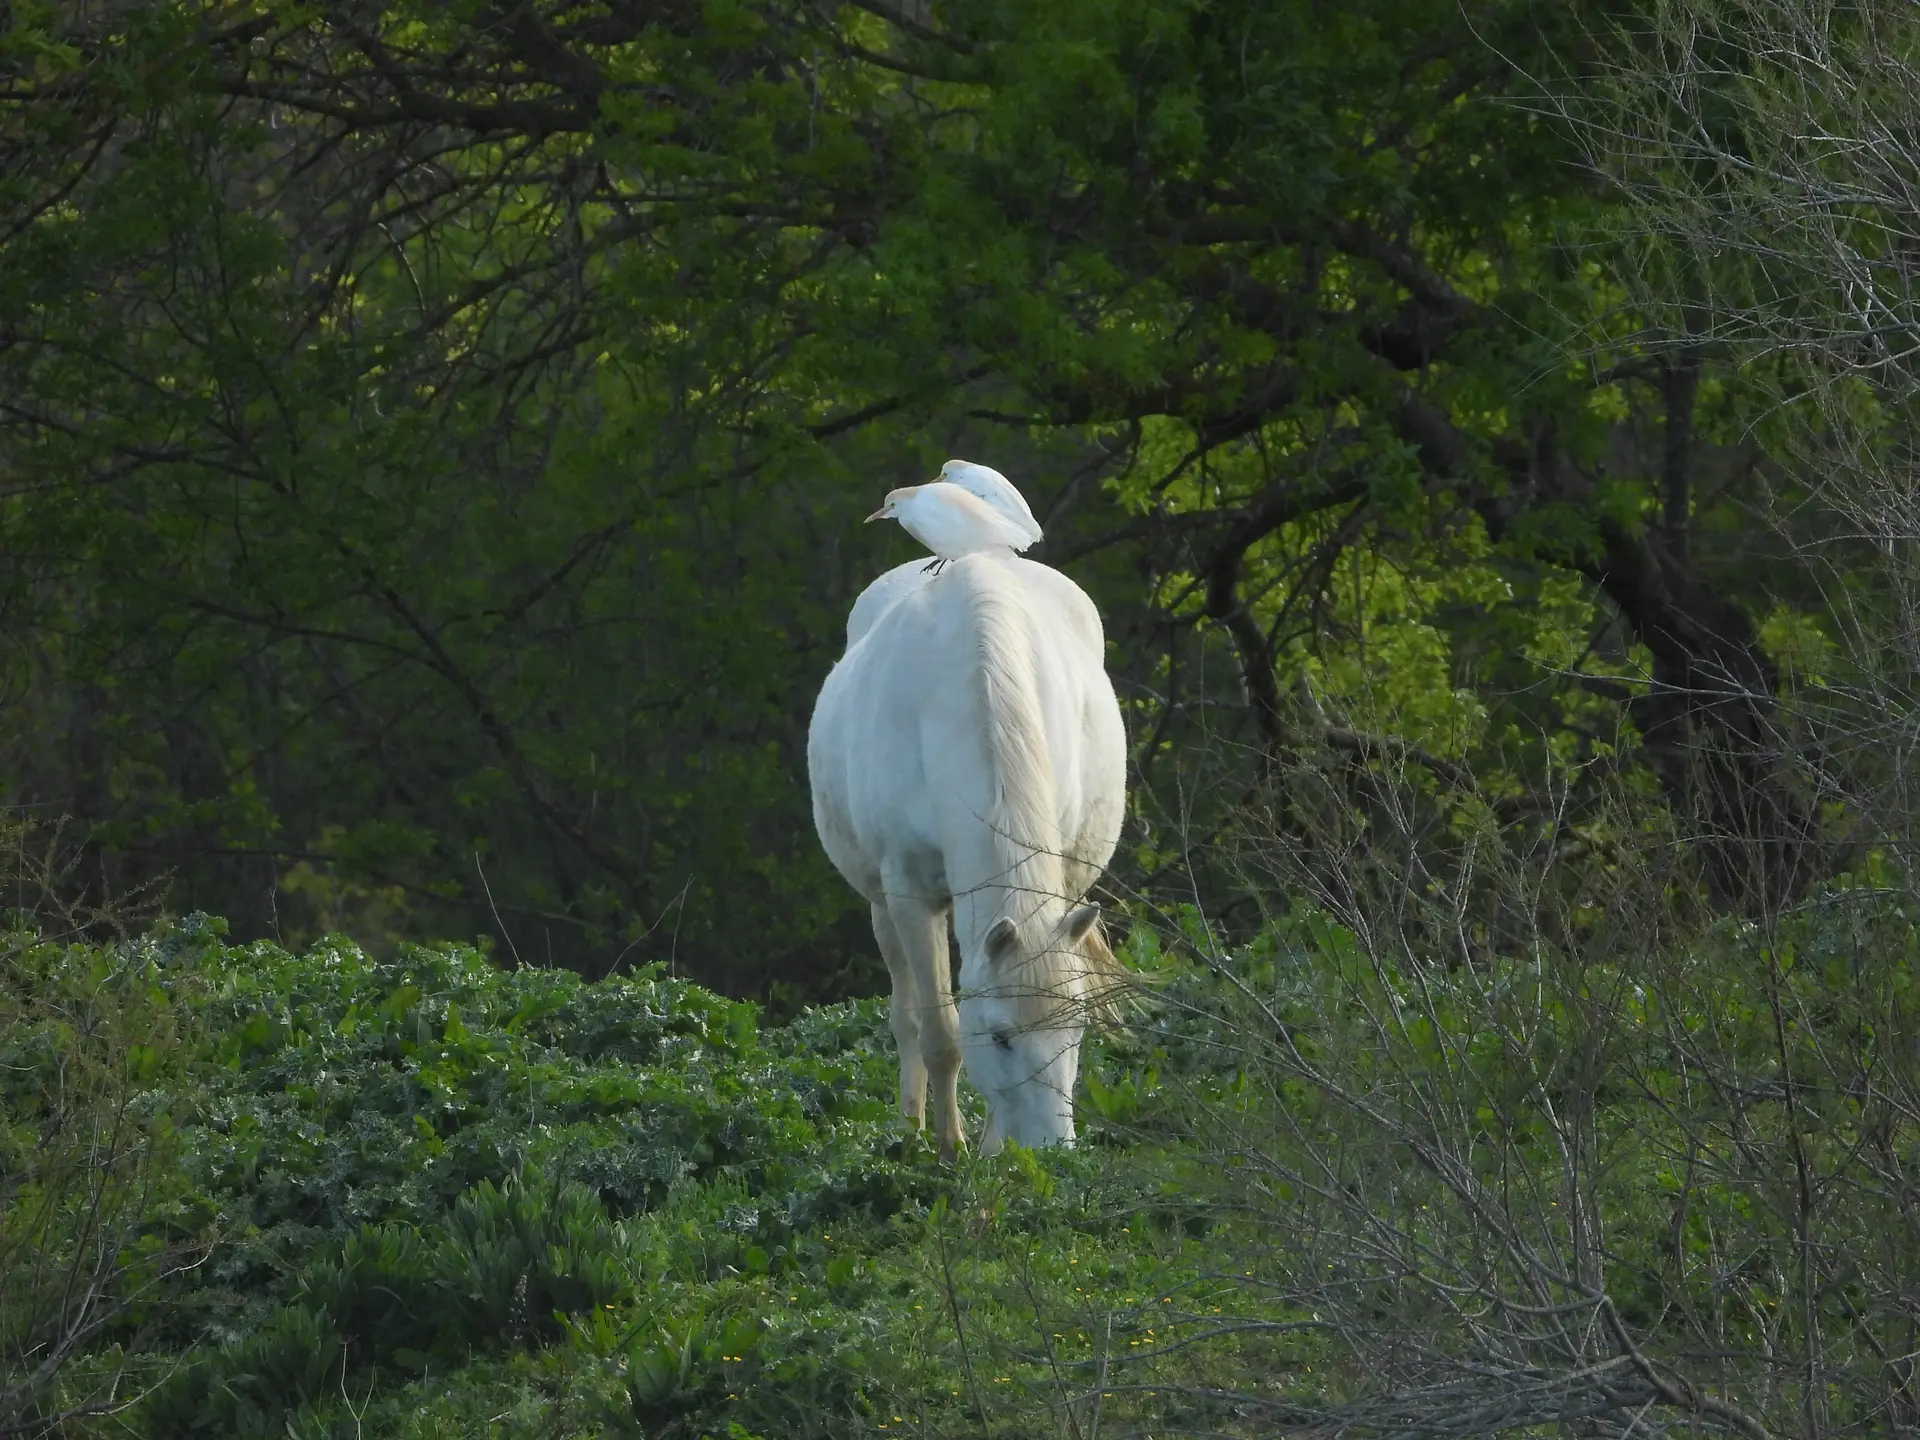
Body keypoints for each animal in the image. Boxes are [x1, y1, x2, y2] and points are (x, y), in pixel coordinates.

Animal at [806, 556, 1121, 1159]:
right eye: (1000, 1037)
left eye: (1076, 1031)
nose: (1053, 1150)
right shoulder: (910, 896)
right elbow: (941, 1035)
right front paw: (950, 1151)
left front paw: (994, 1152)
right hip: (882, 907)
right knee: (906, 1016)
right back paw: (910, 1130)